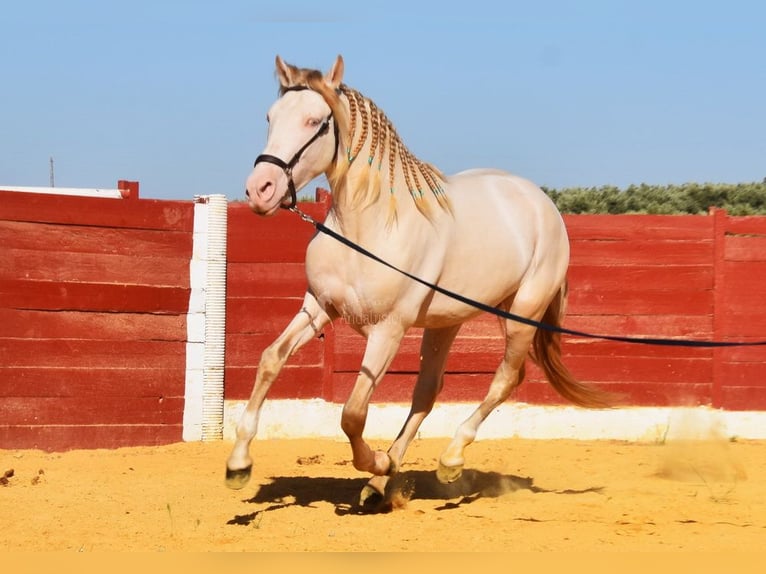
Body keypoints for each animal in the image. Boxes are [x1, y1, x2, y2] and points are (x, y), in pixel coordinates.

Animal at [226, 54, 612, 506]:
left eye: (315, 122)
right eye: (270, 117)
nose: (260, 190)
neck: (367, 228)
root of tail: (542, 203)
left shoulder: (388, 330)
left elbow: (352, 413)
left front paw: (376, 461)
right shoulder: (319, 309)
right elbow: (270, 359)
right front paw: (238, 465)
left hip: (522, 313)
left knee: (505, 379)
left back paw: (447, 461)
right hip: (446, 323)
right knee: (428, 391)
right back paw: (381, 485)